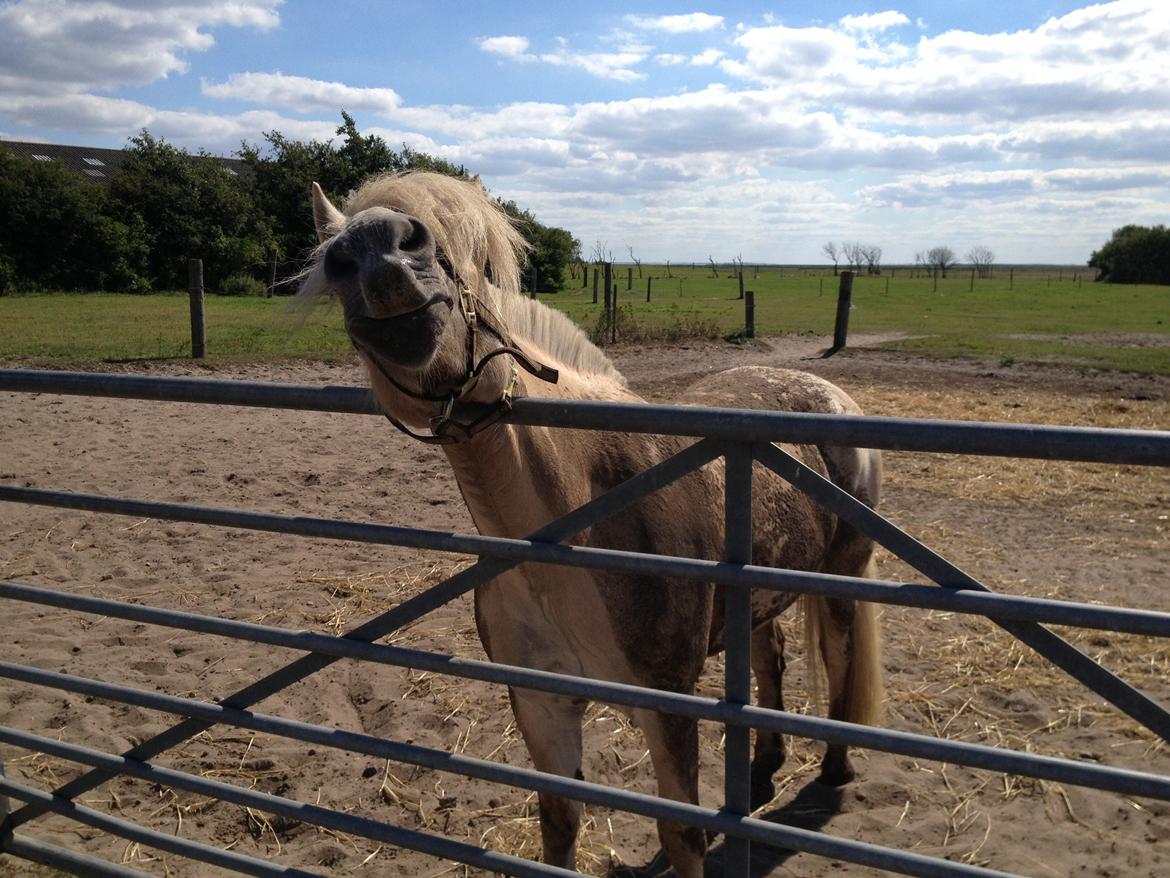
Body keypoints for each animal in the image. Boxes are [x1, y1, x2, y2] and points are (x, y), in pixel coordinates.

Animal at [297, 173, 879, 878]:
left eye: (474, 259)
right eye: (336, 267)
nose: (381, 251)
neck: (572, 539)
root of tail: (828, 393)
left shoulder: (668, 703)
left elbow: (682, 836)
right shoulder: (542, 705)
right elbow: (559, 822)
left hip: (844, 581)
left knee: (841, 663)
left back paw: (834, 771)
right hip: (760, 597)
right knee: (773, 659)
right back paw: (765, 765)